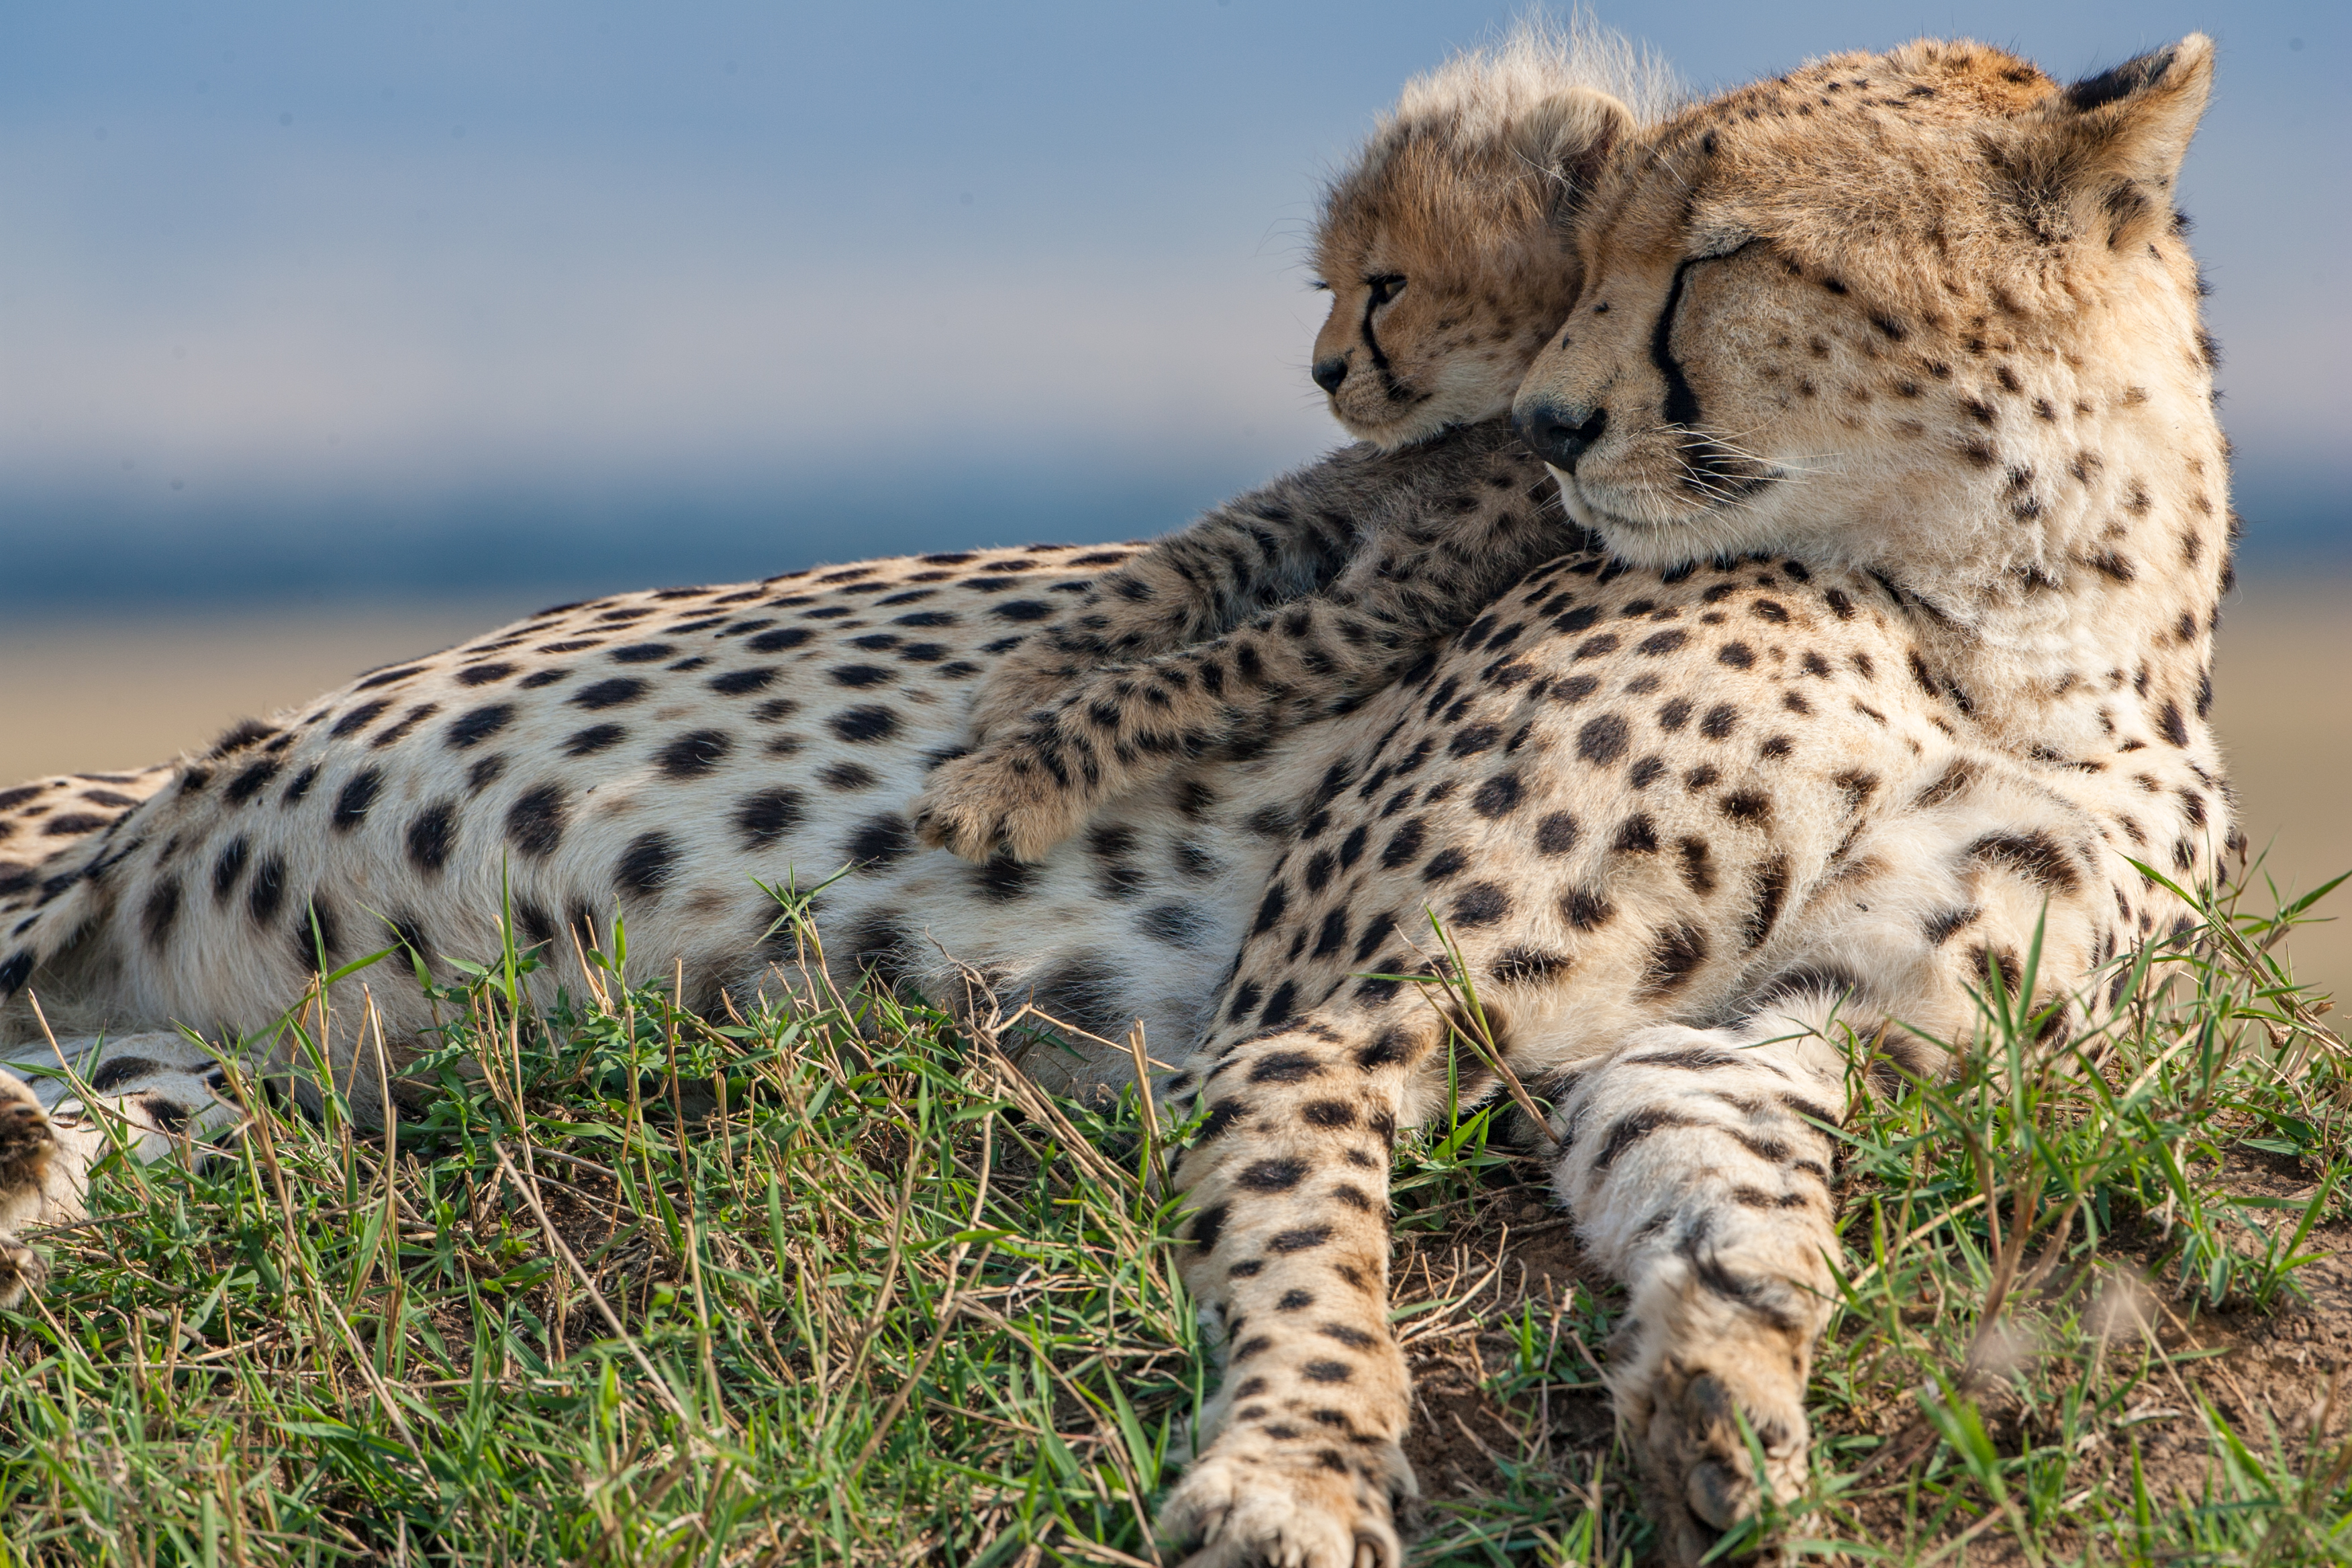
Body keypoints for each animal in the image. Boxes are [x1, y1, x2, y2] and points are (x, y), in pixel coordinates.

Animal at [910, 22, 1671, 865]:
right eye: (1327, 288)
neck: (1479, 421)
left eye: (1387, 285)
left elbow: (1179, 679)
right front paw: (1027, 677)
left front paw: (1004, 781)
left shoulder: (1379, 603)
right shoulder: (1307, 515)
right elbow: (1171, 573)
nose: (1324, 372)